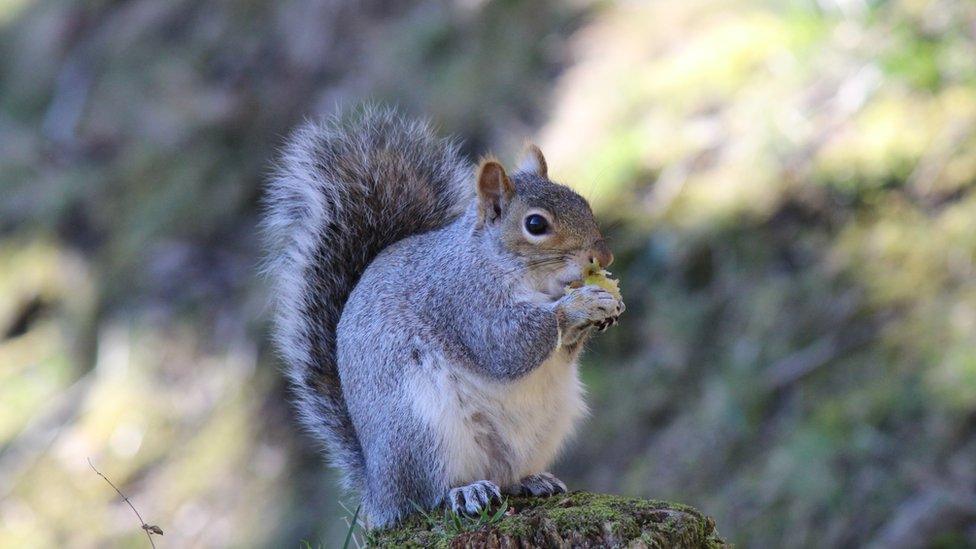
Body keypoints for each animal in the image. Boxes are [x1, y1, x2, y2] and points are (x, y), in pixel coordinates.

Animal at [264, 108, 620, 528]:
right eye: (536, 225)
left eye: (582, 202)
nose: (604, 257)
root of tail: (378, 490)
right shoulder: (461, 300)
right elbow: (507, 346)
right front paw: (579, 305)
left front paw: (603, 308)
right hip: (421, 431)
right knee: (427, 494)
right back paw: (465, 492)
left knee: (505, 475)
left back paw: (530, 480)